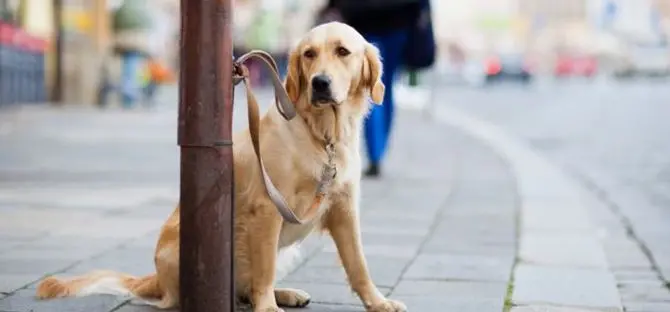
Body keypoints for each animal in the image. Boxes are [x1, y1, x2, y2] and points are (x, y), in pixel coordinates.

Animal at [36, 22, 406, 312]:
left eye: (343, 51)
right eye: (309, 54)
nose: (320, 83)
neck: (323, 135)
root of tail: (154, 278)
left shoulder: (344, 209)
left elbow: (358, 265)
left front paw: (378, 302)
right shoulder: (268, 209)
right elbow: (264, 271)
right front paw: (267, 308)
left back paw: (286, 293)